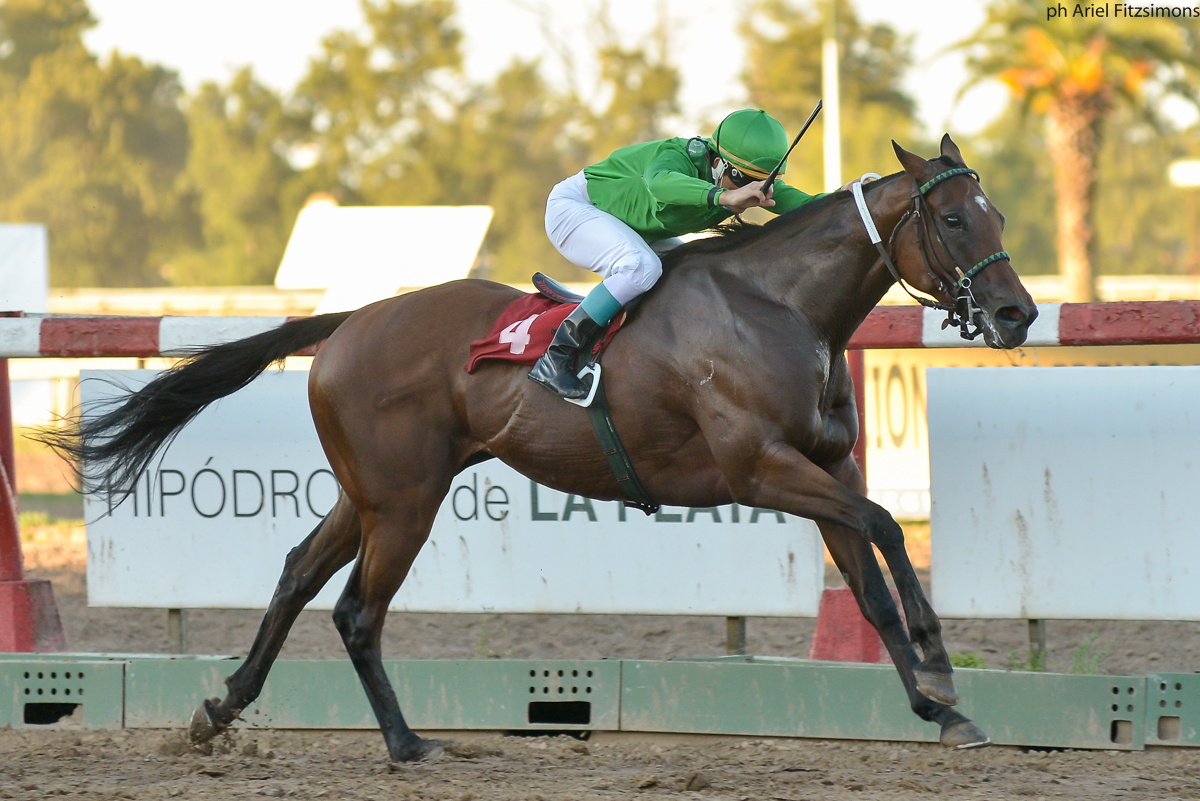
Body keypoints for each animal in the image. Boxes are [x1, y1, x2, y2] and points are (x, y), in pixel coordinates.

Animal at [50, 136, 1036, 761]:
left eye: (995, 213)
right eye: (955, 221)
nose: (1019, 312)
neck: (779, 306)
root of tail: (352, 319)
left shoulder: (824, 465)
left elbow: (870, 577)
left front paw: (936, 706)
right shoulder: (762, 468)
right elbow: (887, 527)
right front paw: (940, 665)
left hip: (372, 492)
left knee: (297, 576)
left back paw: (220, 710)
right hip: (405, 502)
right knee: (357, 611)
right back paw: (406, 743)